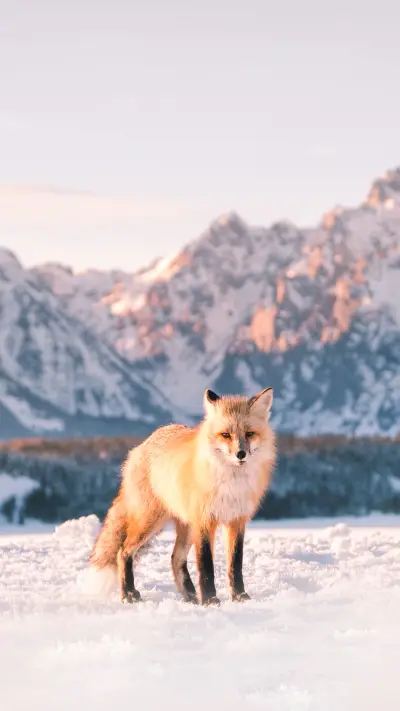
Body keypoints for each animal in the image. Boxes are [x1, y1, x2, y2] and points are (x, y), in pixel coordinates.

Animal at [89, 387, 276, 606]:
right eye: (225, 435)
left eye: (249, 433)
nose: (241, 454)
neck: (231, 484)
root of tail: (141, 446)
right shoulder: (204, 521)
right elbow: (206, 566)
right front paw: (210, 600)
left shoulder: (237, 520)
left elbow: (235, 565)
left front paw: (239, 597)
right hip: (150, 522)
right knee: (123, 551)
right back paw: (128, 593)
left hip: (185, 528)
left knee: (175, 558)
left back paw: (189, 595)